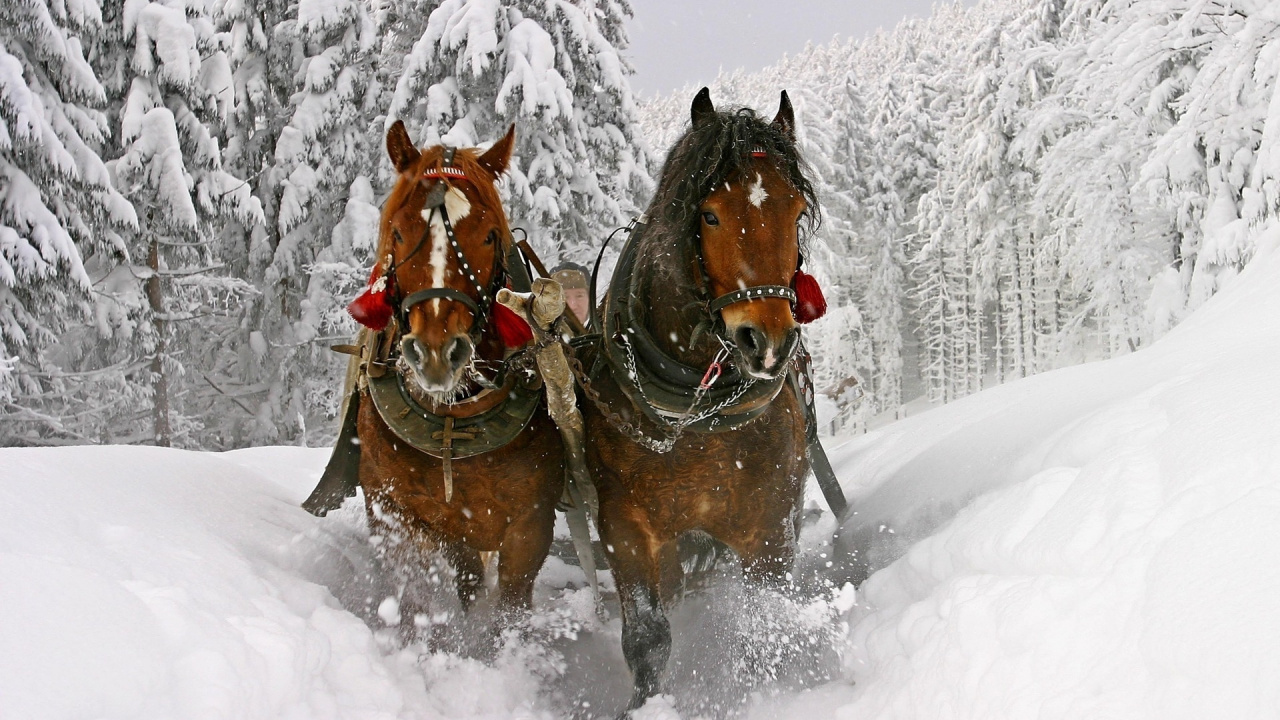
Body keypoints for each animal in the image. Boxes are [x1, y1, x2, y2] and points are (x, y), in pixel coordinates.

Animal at [339, 121, 565, 646]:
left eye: (488, 235)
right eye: (399, 231)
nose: (437, 353)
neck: (453, 422)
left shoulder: (530, 523)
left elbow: (510, 609)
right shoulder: (395, 513)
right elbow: (416, 599)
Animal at [579, 88, 822, 710]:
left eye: (795, 213)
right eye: (709, 214)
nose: (768, 341)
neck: (695, 415)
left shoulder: (771, 525)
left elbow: (764, 623)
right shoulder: (624, 527)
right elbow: (647, 638)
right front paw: (644, 706)